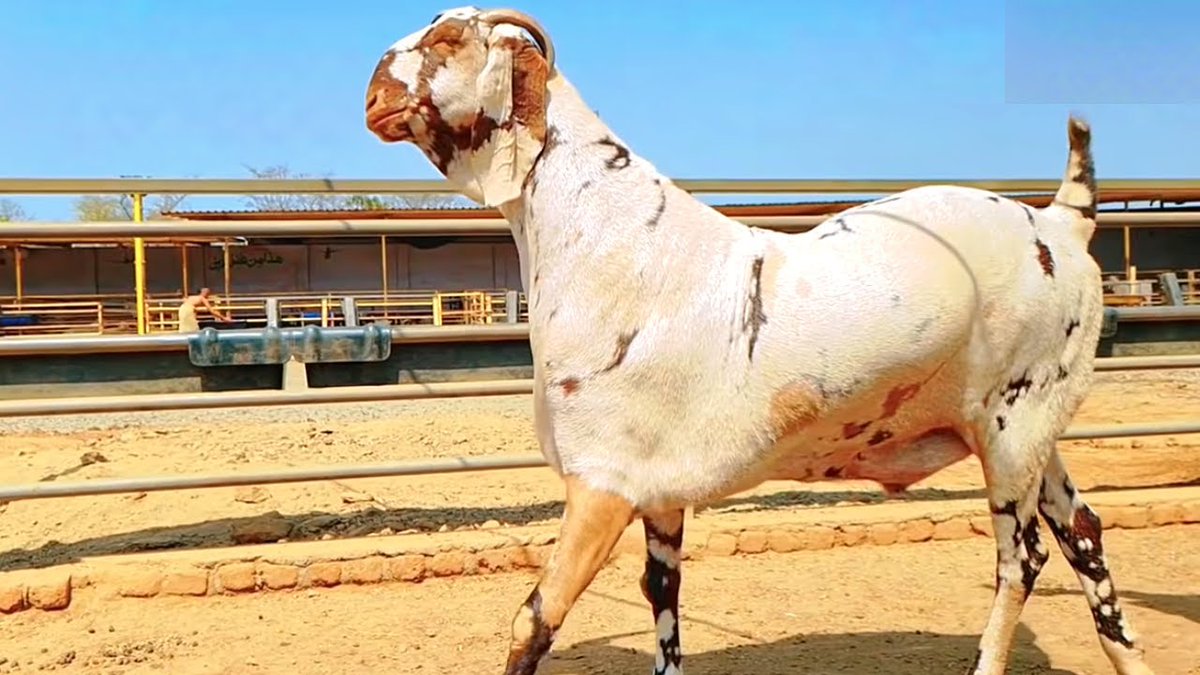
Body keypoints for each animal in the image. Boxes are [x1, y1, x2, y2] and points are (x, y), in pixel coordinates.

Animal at [363, 8, 1154, 675]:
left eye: (446, 39)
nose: (371, 94)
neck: (613, 241)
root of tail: (1061, 222)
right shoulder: (658, 495)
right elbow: (662, 599)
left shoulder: (602, 482)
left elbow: (535, 618)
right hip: (1030, 430)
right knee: (1084, 532)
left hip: (1014, 429)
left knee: (1021, 558)